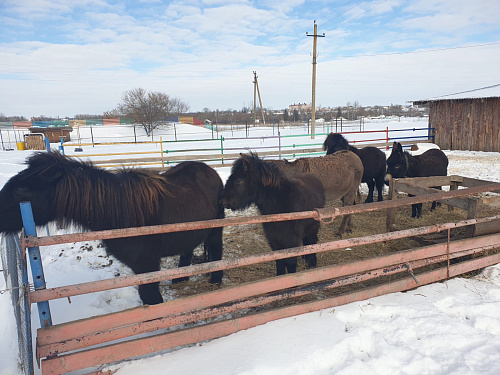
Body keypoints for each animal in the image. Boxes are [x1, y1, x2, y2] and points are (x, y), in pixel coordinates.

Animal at [0, 151, 225, 306]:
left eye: (21, 189)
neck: (118, 211)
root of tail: (209, 171)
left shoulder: (148, 264)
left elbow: (151, 298)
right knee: (187, 251)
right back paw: (180, 279)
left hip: (216, 230)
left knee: (216, 253)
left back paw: (215, 281)